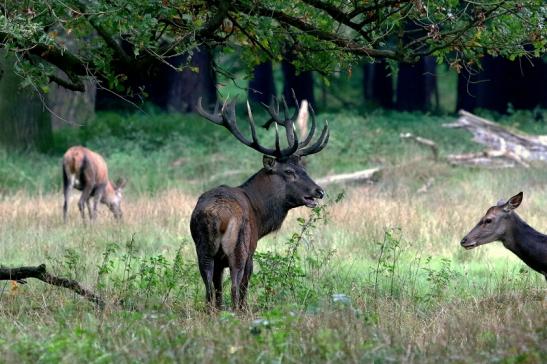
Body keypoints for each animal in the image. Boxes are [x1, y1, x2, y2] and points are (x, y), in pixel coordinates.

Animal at [192, 96, 330, 310]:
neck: (260, 213)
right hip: (239, 248)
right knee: (235, 287)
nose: (319, 191)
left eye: (303, 168)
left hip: (204, 250)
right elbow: (243, 287)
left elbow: (217, 290)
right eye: (289, 171)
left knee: (208, 289)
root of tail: (217, 217)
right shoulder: (252, 249)